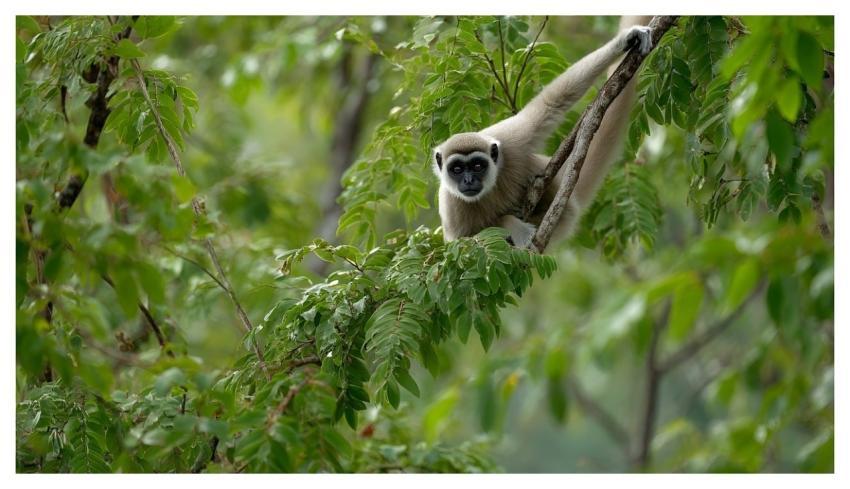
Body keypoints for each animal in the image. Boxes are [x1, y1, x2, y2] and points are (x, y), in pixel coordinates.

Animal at [433, 16, 654, 246]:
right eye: (457, 169)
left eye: (477, 165)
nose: (468, 180)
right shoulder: (451, 208)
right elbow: (465, 244)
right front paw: (511, 225)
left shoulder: (511, 139)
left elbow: (551, 103)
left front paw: (625, 40)